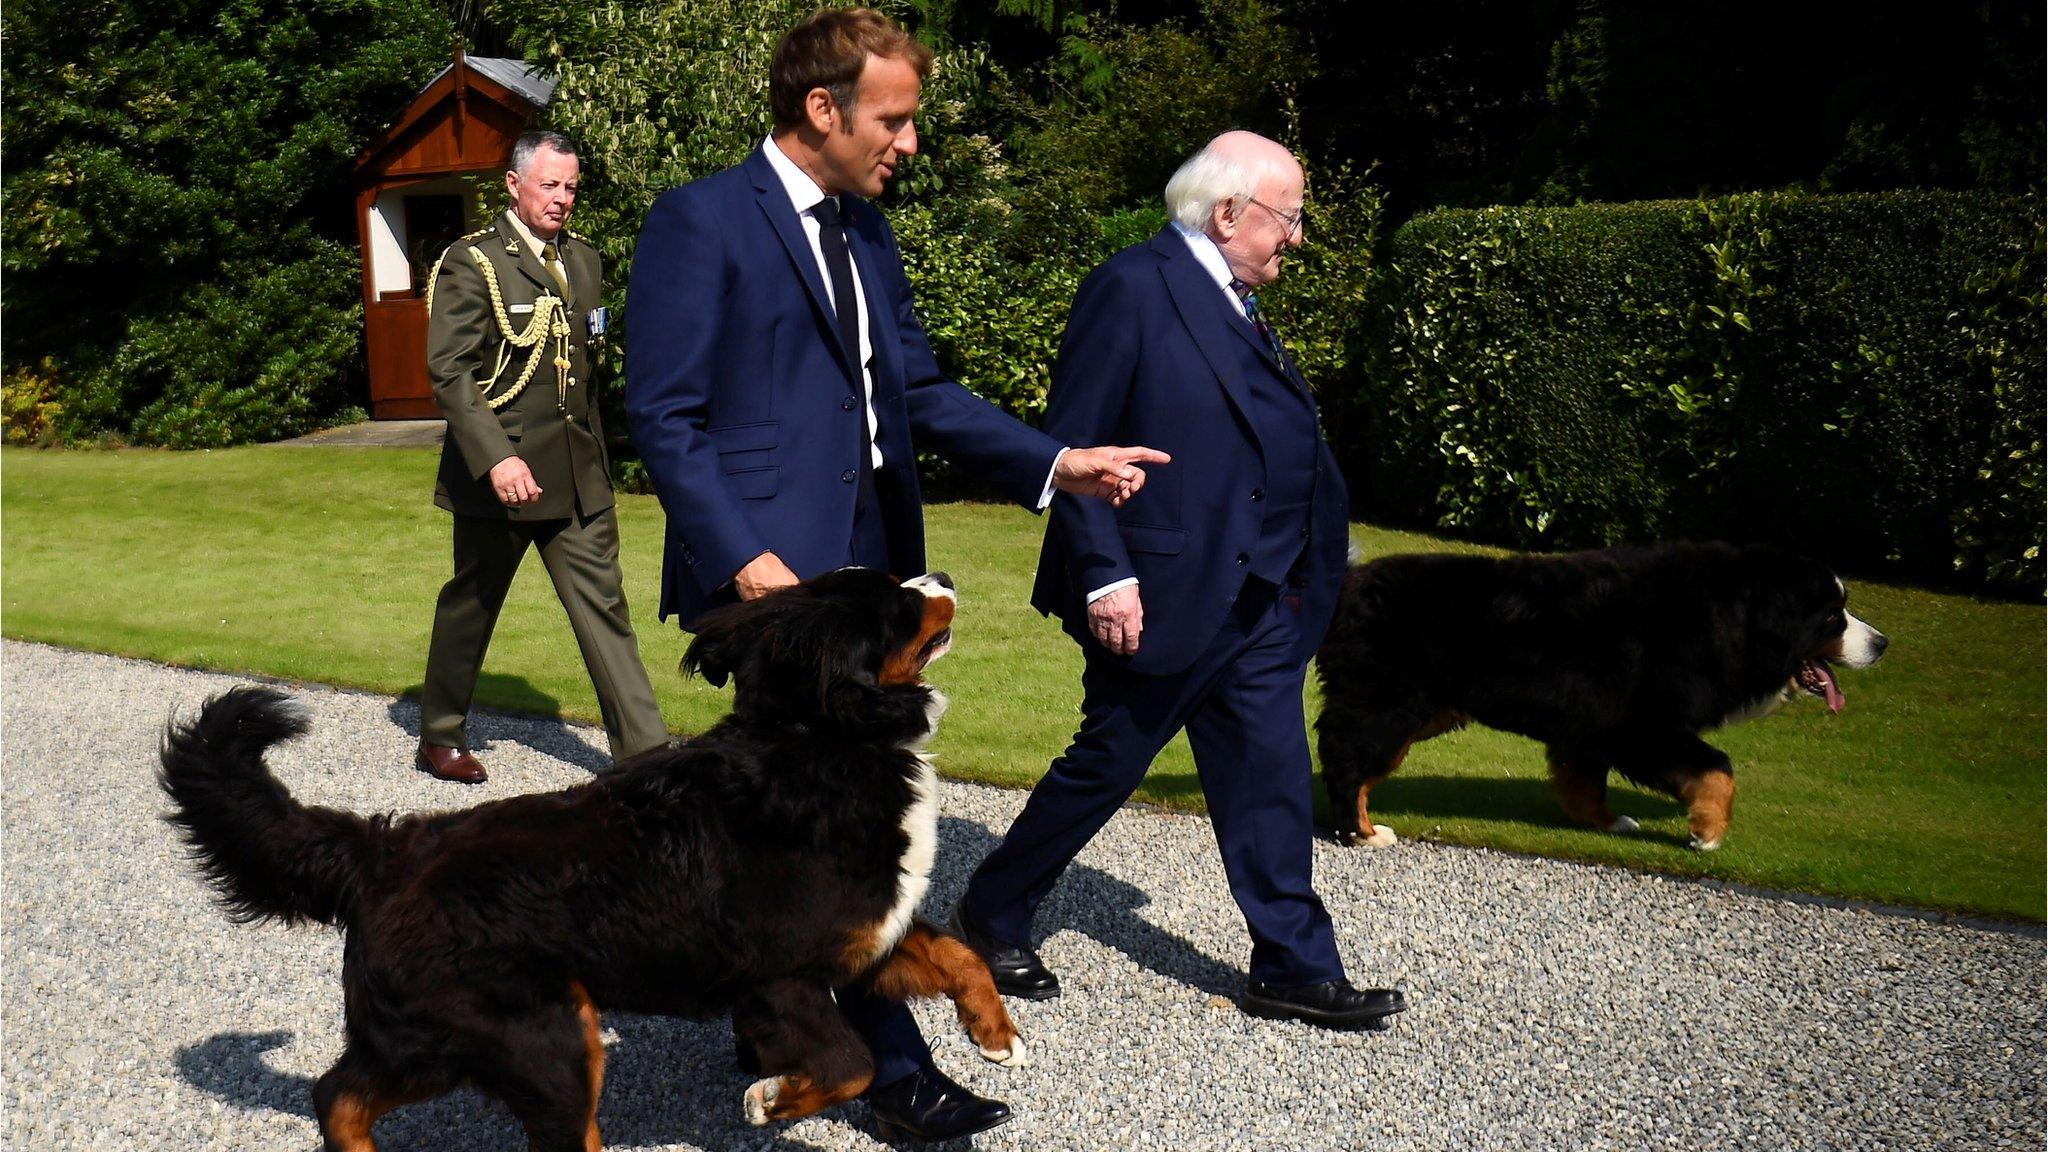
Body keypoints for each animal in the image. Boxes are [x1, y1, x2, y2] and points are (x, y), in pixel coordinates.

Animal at [157, 565, 1024, 1147]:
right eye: (898, 601)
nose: (945, 573)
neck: (822, 740)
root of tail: (388, 849)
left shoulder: (868, 936)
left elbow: (958, 956)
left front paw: (996, 1033)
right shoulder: (783, 978)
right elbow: (852, 1063)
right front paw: (771, 1100)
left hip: (423, 1039)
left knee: (335, 1094)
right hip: (543, 1037)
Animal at [1310, 537, 1884, 844]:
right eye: (1832, 616)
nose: (1882, 643)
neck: (1730, 615)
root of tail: (1350, 583)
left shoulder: (1590, 729)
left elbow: (1584, 783)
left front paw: (1607, 822)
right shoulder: (1645, 727)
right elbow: (1719, 769)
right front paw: (1708, 830)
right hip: (1387, 707)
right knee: (1347, 766)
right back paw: (1361, 832)